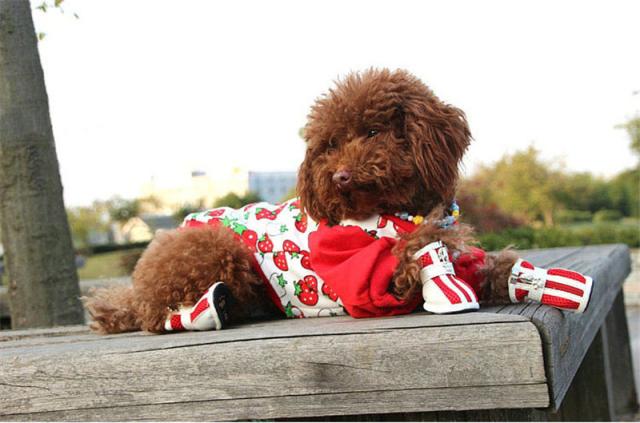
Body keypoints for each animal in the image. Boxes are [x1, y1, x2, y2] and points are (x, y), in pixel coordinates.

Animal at [85, 69, 593, 334]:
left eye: (372, 131)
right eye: (329, 144)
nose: (340, 175)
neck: (392, 207)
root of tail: (136, 283)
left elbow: (489, 269)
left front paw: (531, 279)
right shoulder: (361, 282)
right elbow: (405, 258)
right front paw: (434, 244)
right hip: (213, 247)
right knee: (156, 316)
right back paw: (211, 307)